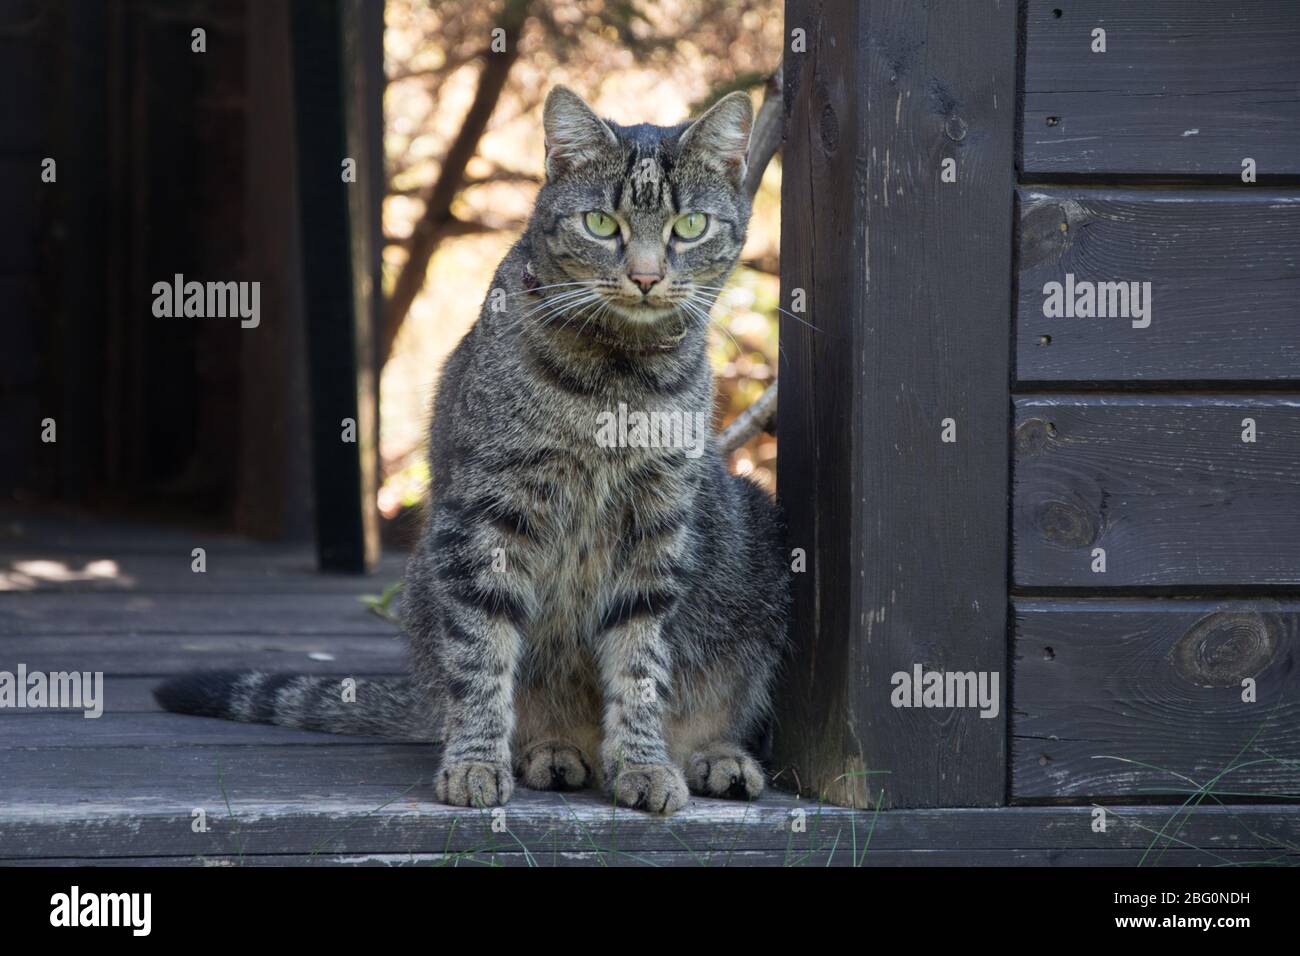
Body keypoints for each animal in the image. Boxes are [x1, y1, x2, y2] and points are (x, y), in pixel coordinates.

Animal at [154, 85, 780, 816]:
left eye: (689, 227)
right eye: (601, 224)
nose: (647, 277)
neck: (619, 375)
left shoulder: (656, 527)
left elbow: (641, 663)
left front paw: (644, 763)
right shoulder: (488, 516)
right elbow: (482, 653)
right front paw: (477, 762)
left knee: (715, 706)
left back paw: (716, 757)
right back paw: (551, 751)